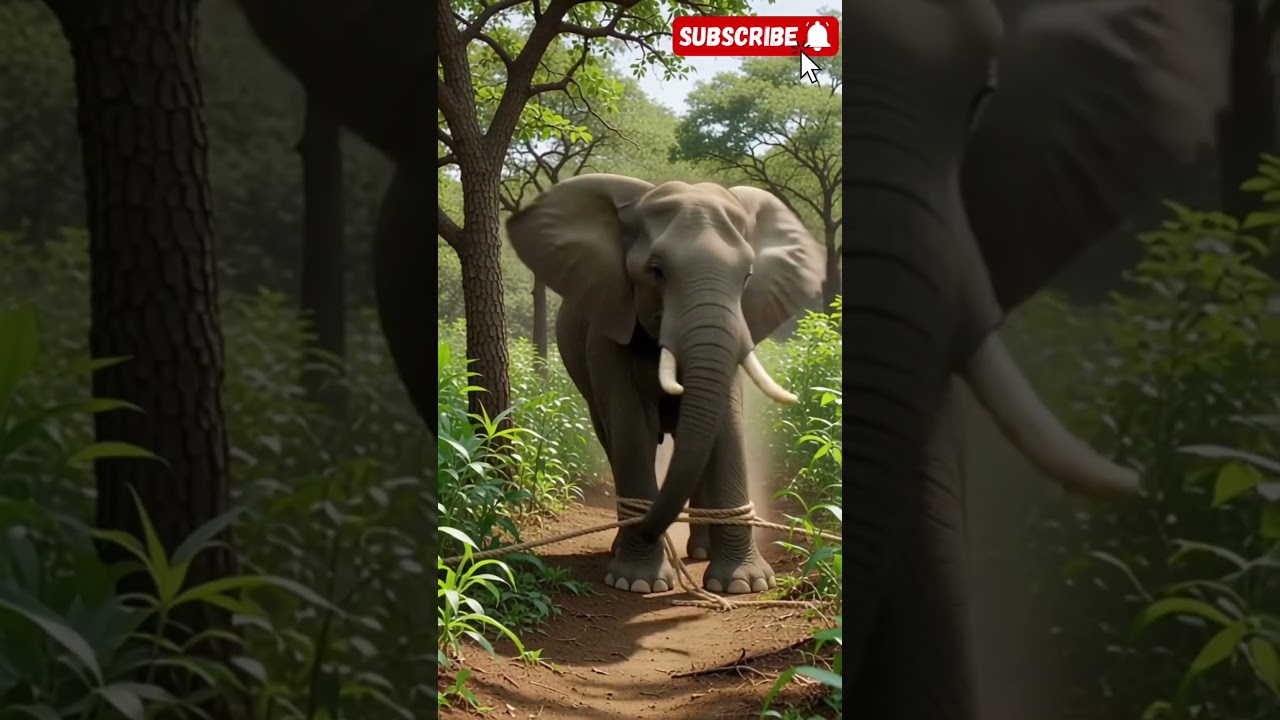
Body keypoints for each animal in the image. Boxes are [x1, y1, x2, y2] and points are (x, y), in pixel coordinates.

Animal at [506, 176, 825, 594]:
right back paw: (624, 546)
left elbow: (726, 423)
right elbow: (630, 424)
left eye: (748, 277)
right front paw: (638, 583)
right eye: (656, 271)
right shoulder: (609, 328)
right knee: (611, 437)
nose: (649, 527)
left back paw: (701, 550)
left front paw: (745, 585)